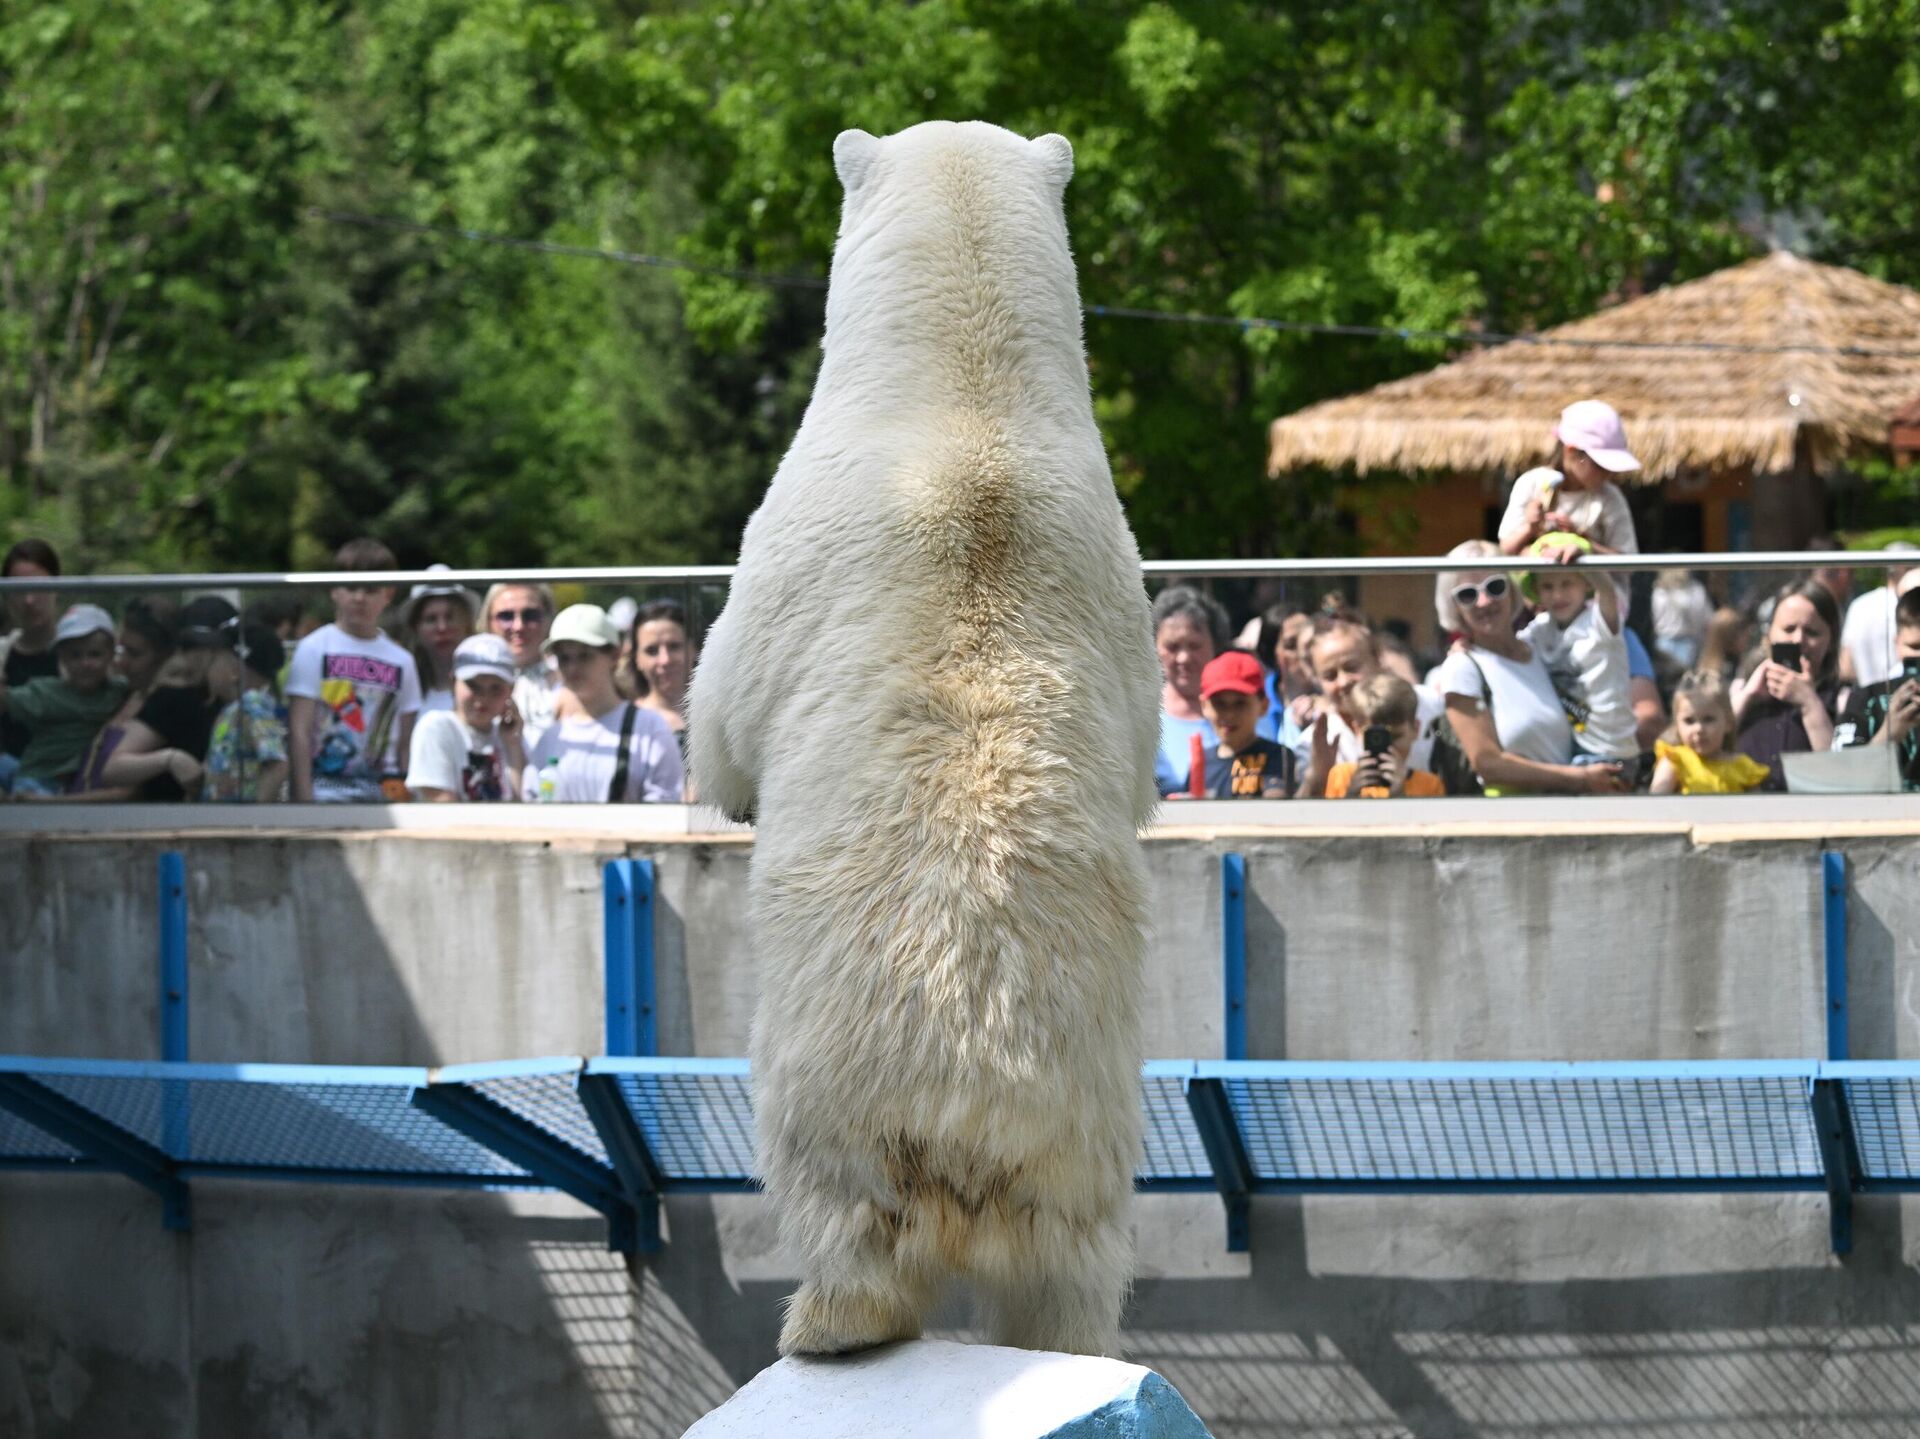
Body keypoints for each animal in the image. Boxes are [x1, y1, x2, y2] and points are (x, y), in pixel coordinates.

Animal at [691, 117, 1152, 1352]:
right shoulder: (1123, 586)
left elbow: (724, 698)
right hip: (1084, 1141)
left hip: (838, 1079)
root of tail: (977, 1097)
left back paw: (821, 1322)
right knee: (1072, 1273)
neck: (962, 404)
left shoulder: (785, 537)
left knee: (837, 1205)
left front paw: (722, 783)